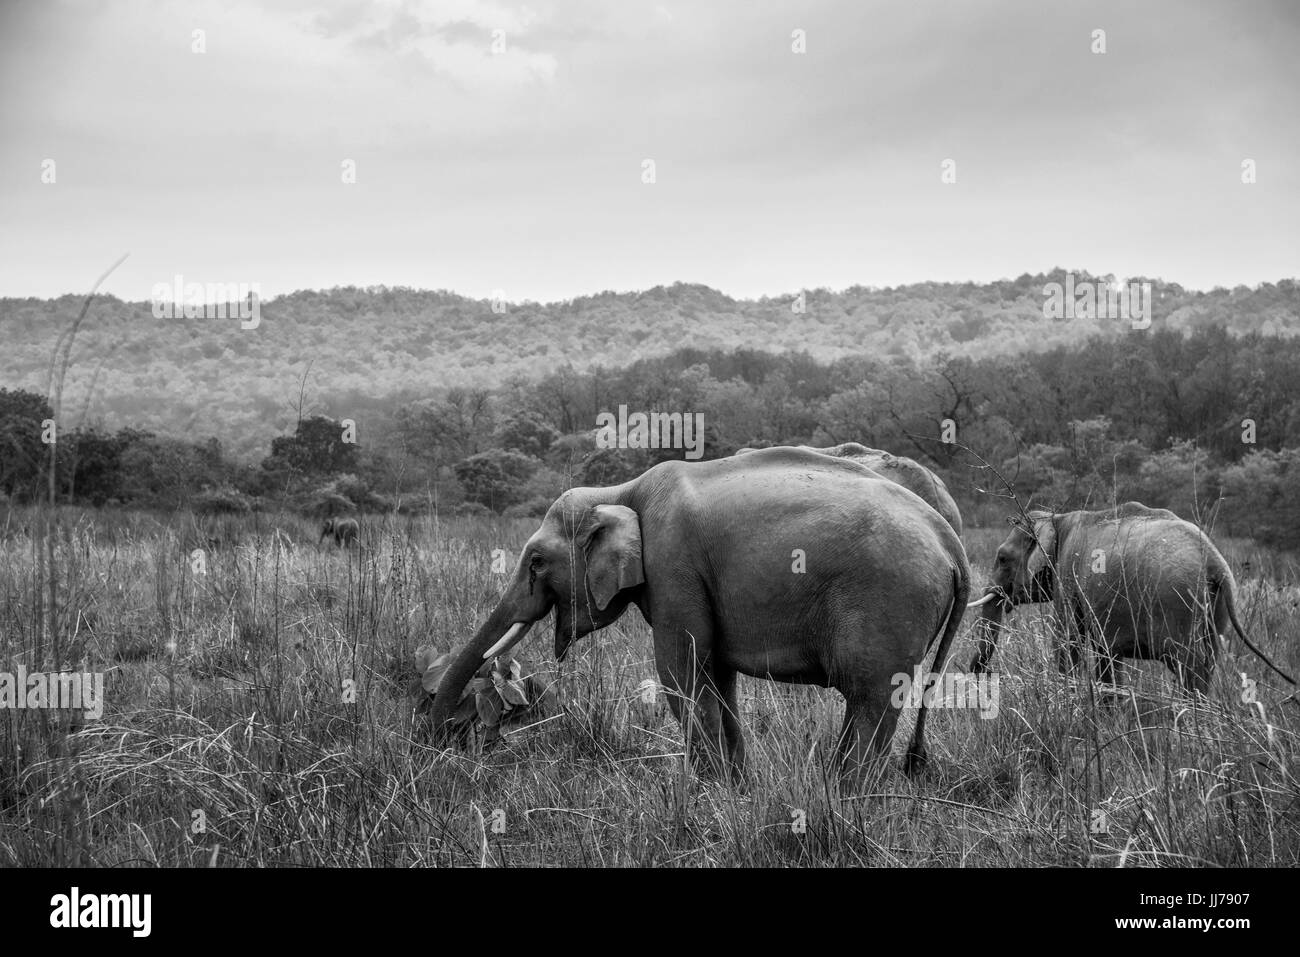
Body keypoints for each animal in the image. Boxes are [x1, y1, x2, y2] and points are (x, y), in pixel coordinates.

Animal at [961, 501, 1294, 696]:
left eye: (1002, 558)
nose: (984, 672)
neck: (1059, 518)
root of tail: (1216, 563)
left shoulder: (1069, 575)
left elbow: (1067, 642)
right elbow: (1107, 654)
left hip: (1180, 605)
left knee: (1189, 666)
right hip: (1217, 609)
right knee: (1207, 665)